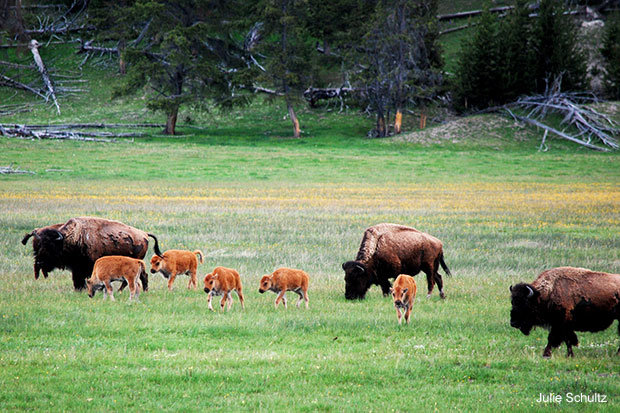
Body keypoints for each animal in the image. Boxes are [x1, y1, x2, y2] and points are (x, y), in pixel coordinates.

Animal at [21, 216, 162, 290]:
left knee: (138, 277)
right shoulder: (77, 268)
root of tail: (144, 234)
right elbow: (77, 279)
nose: (39, 261)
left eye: (50, 246)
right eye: (39, 245)